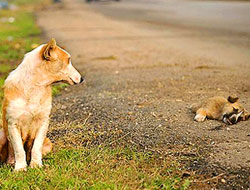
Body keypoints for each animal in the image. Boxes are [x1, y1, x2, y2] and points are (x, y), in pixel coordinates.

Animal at [0, 38, 84, 171]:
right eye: (68, 60)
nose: (82, 79)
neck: (36, 86)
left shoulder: (43, 123)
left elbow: (36, 147)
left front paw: (36, 165)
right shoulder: (13, 124)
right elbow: (19, 150)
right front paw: (20, 168)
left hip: (48, 143)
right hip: (1, 135)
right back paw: (12, 163)